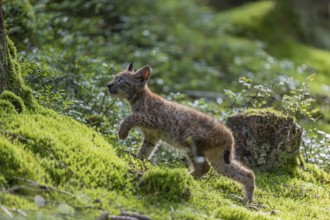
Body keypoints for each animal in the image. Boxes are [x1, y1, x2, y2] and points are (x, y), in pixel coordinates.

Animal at [108, 62, 255, 202]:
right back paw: (247, 199)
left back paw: (185, 176)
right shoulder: (152, 136)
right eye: (114, 77)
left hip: (191, 142)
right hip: (219, 158)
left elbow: (131, 117)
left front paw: (122, 133)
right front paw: (139, 161)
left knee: (204, 167)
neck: (136, 98)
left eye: (121, 80)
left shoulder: (154, 120)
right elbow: (145, 150)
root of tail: (229, 133)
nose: (108, 85)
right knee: (245, 173)